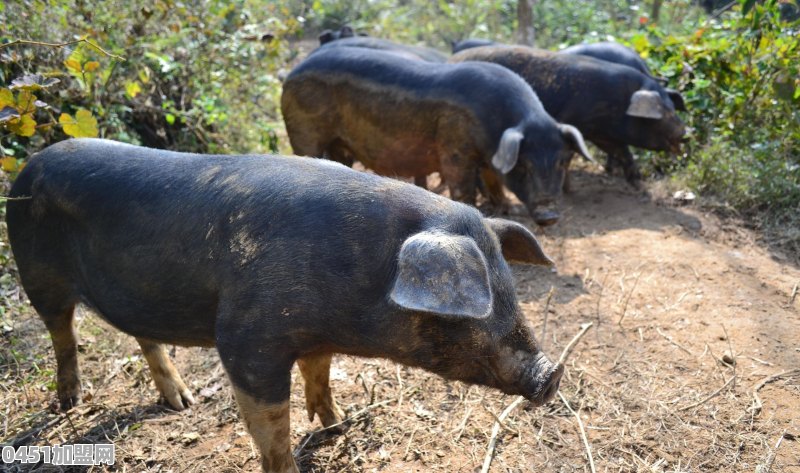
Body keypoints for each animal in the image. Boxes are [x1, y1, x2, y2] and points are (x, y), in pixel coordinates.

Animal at [9, 139, 564, 472]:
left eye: (510, 287)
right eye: (471, 313)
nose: (552, 372)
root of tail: (31, 164)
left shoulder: (314, 338)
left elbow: (319, 373)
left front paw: (338, 423)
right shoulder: (246, 341)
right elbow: (271, 424)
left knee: (144, 337)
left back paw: (180, 403)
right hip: (37, 274)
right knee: (62, 333)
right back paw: (69, 402)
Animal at [450, 46, 688, 188]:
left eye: (672, 108)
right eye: (664, 114)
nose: (686, 133)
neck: (617, 104)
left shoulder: (603, 133)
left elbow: (622, 151)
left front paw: (638, 186)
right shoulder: (574, 120)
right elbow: (570, 154)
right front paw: (569, 189)